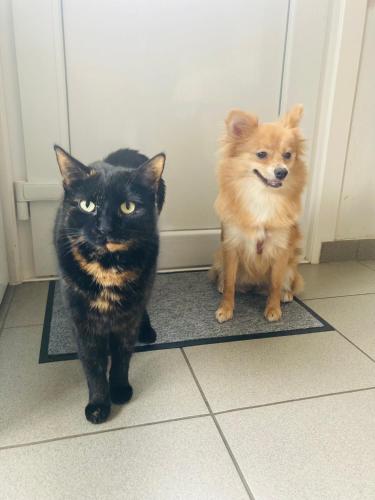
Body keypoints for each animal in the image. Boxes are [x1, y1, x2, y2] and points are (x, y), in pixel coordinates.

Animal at [53, 145, 166, 422]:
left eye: (128, 207)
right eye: (87, 205)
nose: (104, 228)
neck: (106, 267)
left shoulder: (126, 320)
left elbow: (121, 358)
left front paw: (120, 389)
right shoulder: (82, 322)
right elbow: (93, 366)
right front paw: (98, 404)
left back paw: (146, 330)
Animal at [210, 105, 306, 324]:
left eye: (288, 155)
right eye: (261, 154)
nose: (282, 172)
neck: (264, 196)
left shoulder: (280, 250)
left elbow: (275, 284)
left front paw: (273, 308)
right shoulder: (232, 245)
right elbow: (230, 283)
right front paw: (226, 308)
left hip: (291, 265)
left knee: (286, 281)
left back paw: (286, 294)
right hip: (219, 254)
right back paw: (221, 284)